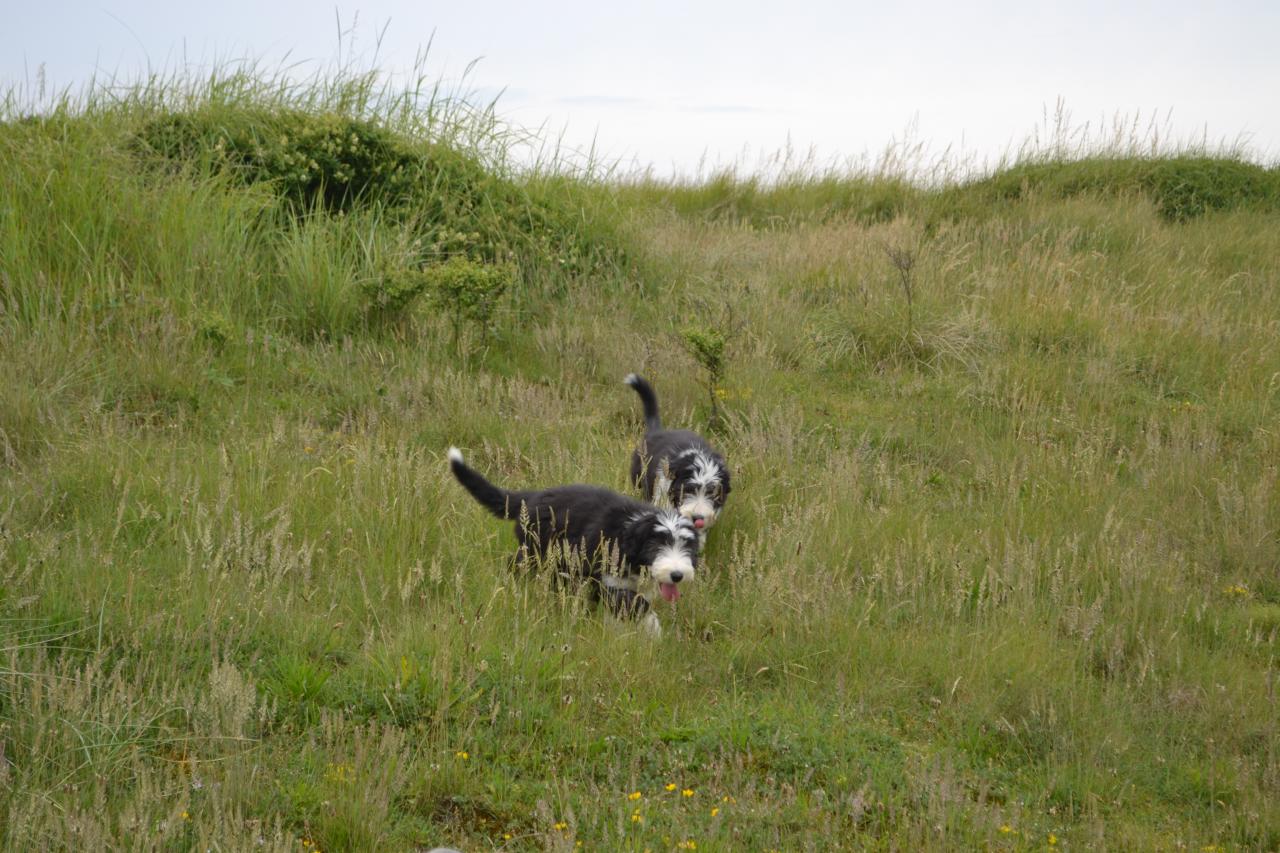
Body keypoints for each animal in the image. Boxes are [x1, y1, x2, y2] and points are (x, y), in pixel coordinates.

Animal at [445, 448, 696, 635]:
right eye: (655, 547)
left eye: (686, 548)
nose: (677, 575)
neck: (628, 536)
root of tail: (531, 498)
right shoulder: (608, 577)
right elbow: (635, 603)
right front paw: (654, 631)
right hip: (538, 552)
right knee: (517, 565)